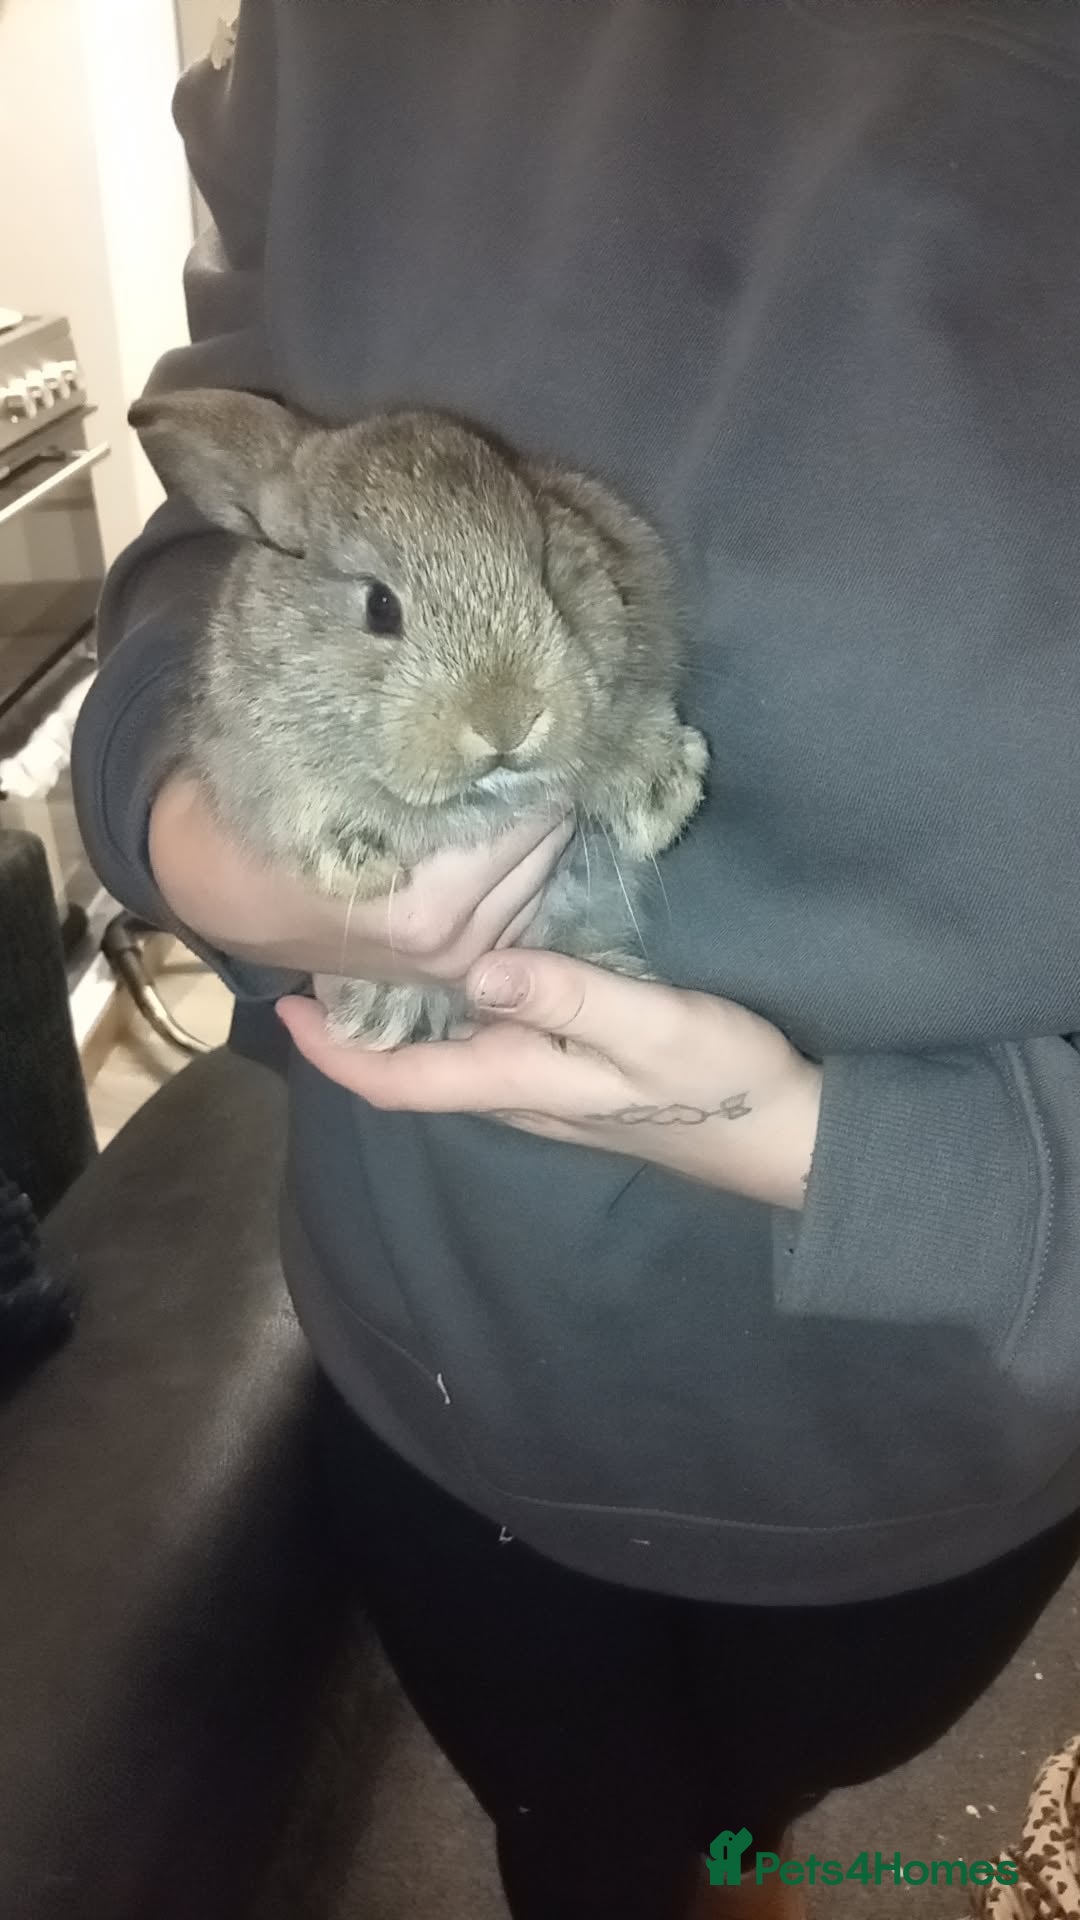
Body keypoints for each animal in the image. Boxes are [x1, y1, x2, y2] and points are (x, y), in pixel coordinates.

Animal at [129, 389, 710, 1047]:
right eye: (380, 606)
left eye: (545, 568)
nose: (507, 723)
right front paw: (355, 864)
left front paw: (660, 798)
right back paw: (385, 1013)